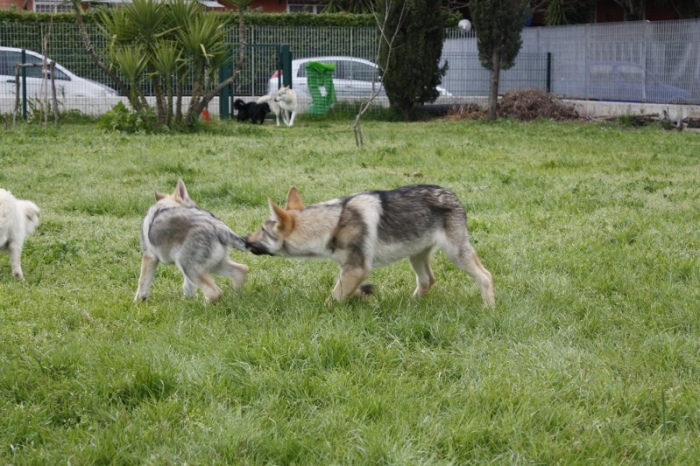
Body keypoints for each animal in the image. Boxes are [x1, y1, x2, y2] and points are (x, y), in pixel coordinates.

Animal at [245, 184, 492, 308]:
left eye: (263, 229)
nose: (245, 238)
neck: (333, 224)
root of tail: (452, 194)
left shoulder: (357, 269)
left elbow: (331, 299)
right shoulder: (349, 271)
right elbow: (345, 291)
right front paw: (362, 296)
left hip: (455, 254)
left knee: (486, 276)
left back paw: (488, 309)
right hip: (415, 256)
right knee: (428, 280)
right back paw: (411, 304)